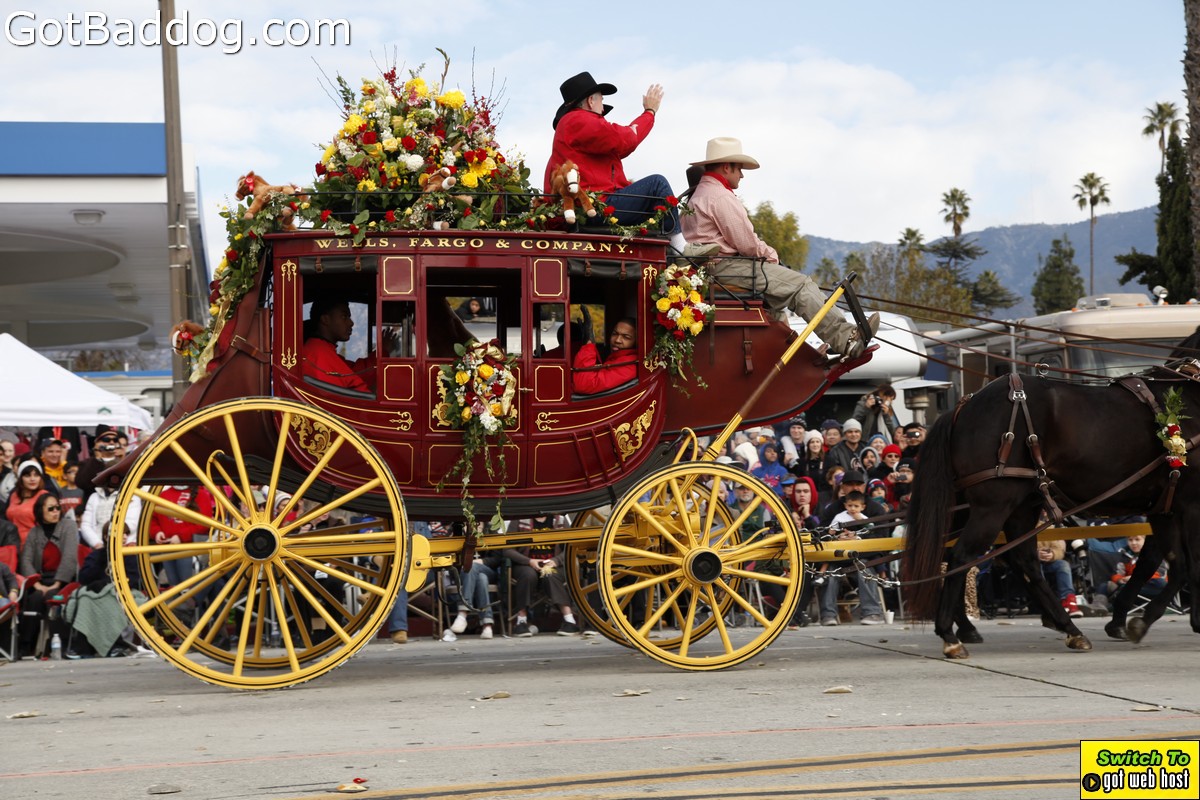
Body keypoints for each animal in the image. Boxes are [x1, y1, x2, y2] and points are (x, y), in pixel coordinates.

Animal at [901, 328, 1200, 658]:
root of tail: (963, 406)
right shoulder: (1189, 505)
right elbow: (1188, 567)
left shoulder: (1164, 507)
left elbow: (1167, 564)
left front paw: (1129, 618)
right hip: (994, 504)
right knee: (962, 556)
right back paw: (951, 635)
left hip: (1013, 506)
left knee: (1018, 560)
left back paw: (1067, 628)